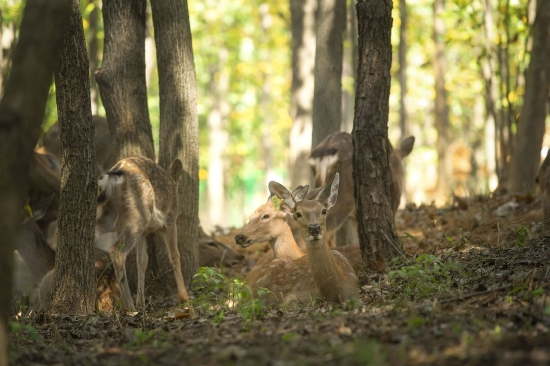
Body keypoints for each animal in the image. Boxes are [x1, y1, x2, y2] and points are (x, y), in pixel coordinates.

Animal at [95, 157, 190, 312]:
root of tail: (115, 173)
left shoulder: (144, 232)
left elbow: (142, 260)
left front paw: (141, 302)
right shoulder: (170, 222)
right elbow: (175, 256)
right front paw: (184, 299)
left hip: (111, 215)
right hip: (139, 213)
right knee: (117, 250)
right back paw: (130, 307)